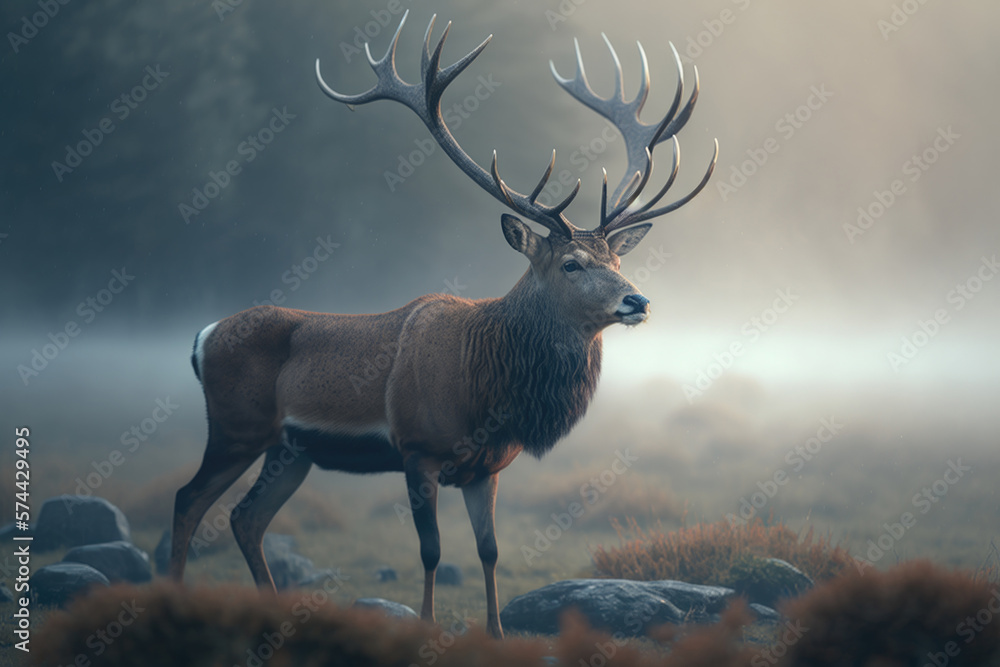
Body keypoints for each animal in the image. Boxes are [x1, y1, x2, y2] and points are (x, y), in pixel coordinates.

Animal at [169, 11, 716, 639]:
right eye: (572, 264)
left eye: (618, 263)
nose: (636, 301)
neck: (487, 391)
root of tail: (202, 336)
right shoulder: (416, 448)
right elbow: (430, 551)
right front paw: (427, 627)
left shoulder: (488, 467)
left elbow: (489, 551)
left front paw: (497, 632)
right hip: (236, 427)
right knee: (188, 500)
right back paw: (174, 596)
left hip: (292, 449)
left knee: (245, 517)